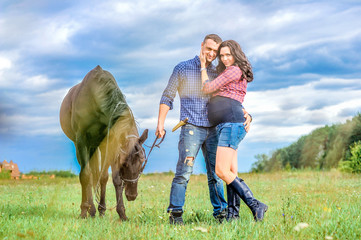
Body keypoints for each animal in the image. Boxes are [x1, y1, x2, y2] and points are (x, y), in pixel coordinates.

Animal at [59, 64, 148, 220]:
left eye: (142, 163)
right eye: (124, 164)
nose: (132, 195)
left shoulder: (110, 143)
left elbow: (108, 178)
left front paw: (118, 212)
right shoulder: (81, 140)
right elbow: (86, 175)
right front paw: (85, 210)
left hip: (95, 147)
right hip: (82, 146)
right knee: (87, 175)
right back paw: (89, 209)